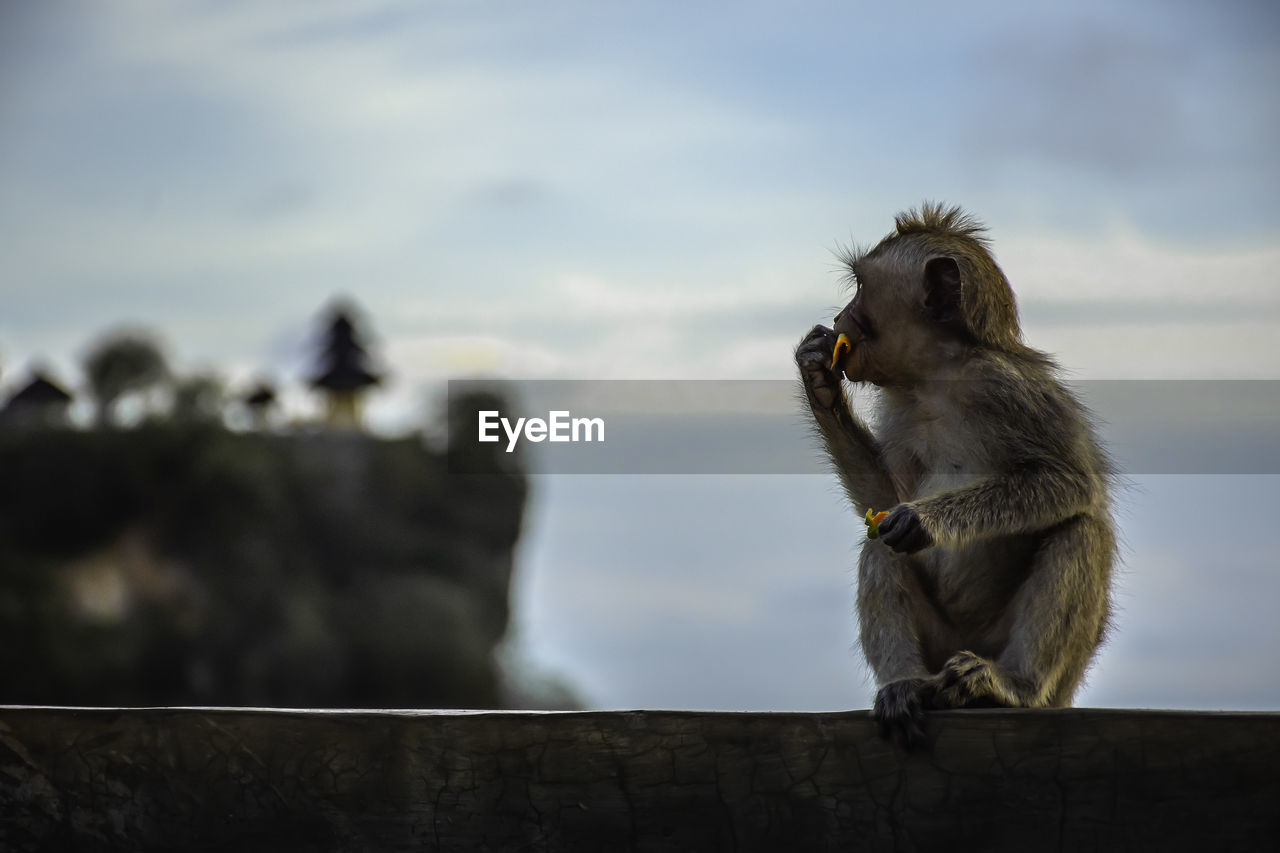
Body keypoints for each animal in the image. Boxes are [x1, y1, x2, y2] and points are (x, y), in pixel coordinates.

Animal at [793, 204, 1116, 742]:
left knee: (1079, 528)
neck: (934, 381)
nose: (838, 318)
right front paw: (818, 380)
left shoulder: (1007, 388)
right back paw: (904, 685)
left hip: (1042, 670)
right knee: (879, 548)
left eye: (859, 286)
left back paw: (1011, 686)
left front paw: (924, 519)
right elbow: (883, 500)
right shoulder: (901, 407)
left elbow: (1071, 483)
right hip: (939, 645)